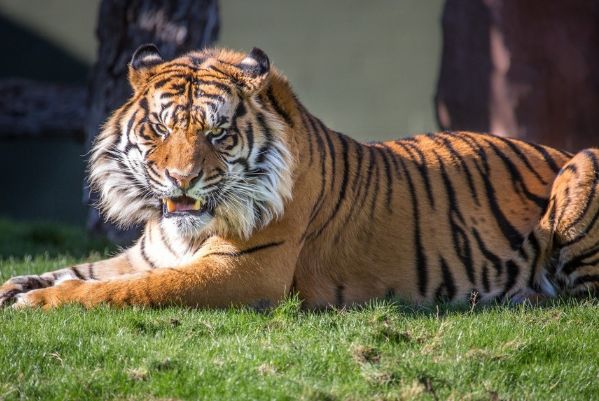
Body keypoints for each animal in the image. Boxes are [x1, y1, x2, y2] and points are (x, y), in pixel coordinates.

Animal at [1, 45, 599, 310]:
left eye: (218, 133)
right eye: (160, 129)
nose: (180, 179)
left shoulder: (244, 271)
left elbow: (130, 289)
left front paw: (40, 302)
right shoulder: (148, 253)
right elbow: (80, 268)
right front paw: (16, 286)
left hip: (584, 167)